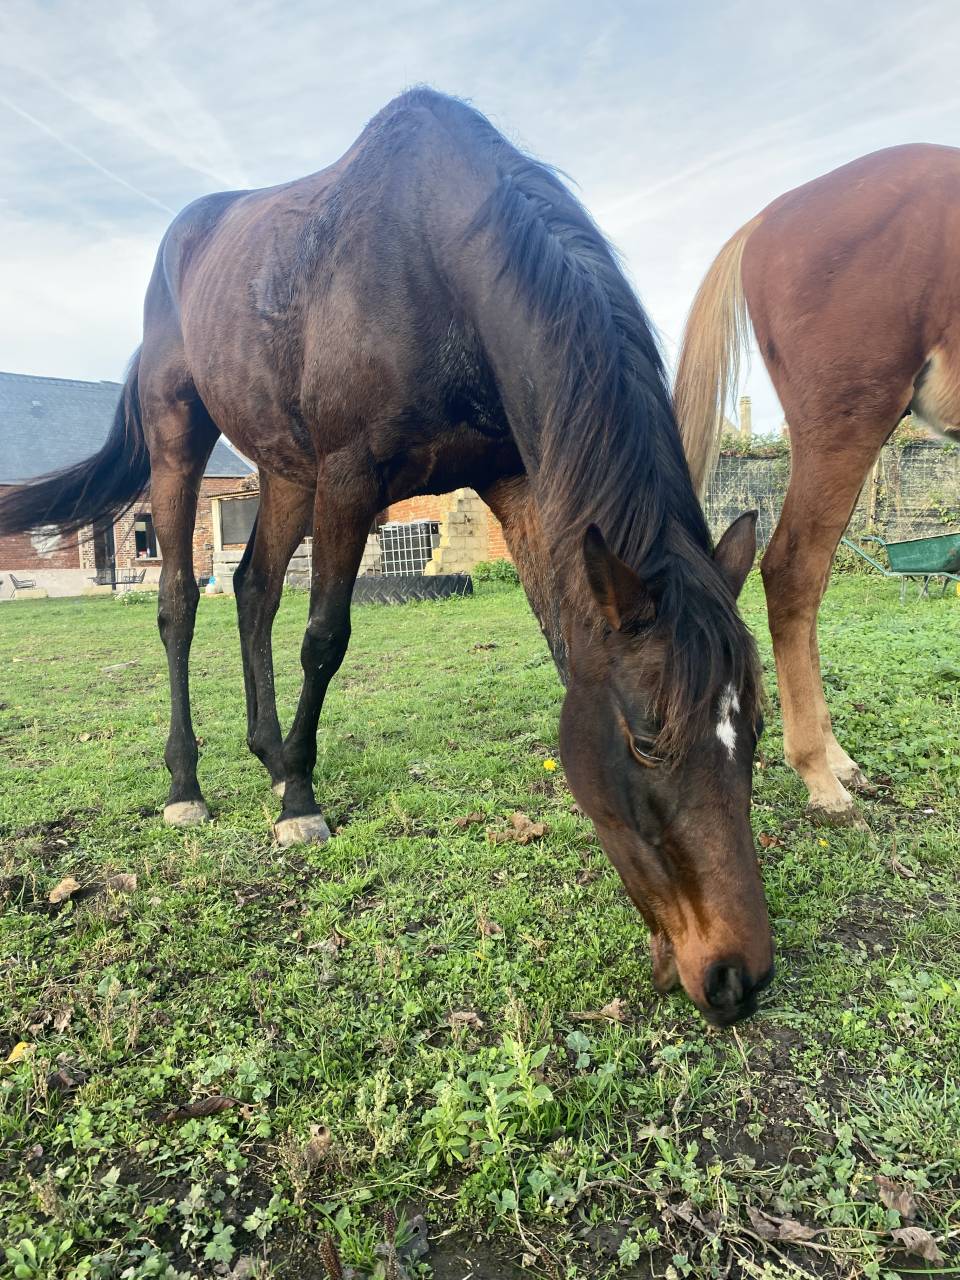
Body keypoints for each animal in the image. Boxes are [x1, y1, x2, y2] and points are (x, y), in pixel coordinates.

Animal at [0, 90, 770, 1024]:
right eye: (649, 740)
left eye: (757, 727)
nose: (740, 976)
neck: (438, 262)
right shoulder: (350, 476)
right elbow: (324, 639)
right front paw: (301, 805)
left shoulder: (515, 483)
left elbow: (559, 638)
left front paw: (291, 774)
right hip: (181, 435)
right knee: (181, 602)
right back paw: (189, 786)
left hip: (284, 471)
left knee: (253, 589)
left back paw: (269, 754)